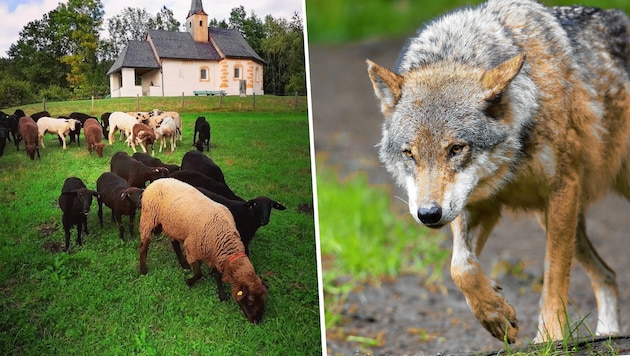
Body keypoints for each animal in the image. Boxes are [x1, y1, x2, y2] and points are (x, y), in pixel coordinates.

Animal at [139, 179, 268, 324]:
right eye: (250, 301)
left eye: (263, 301)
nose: (257, 321)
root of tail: (157, 181)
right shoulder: (192, 247)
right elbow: (199, 273)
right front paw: (189, 281)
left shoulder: (216, 254)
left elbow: (217, 274)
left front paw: (221, 295)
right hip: (148, 218)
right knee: (144, 246)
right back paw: (143, 269)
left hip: (172, 224)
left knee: (174, 244)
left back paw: (183, 263)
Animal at [368, 0, 630, 344]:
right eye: (409, 154)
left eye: (456, 149)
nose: (428, 214)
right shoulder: (478, 205)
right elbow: (460, 267)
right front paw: (495, 314)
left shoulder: (563, 188)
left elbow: (554, 277)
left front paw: (549, 338)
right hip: (553, 219)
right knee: (608, 275)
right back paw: (608, 334)